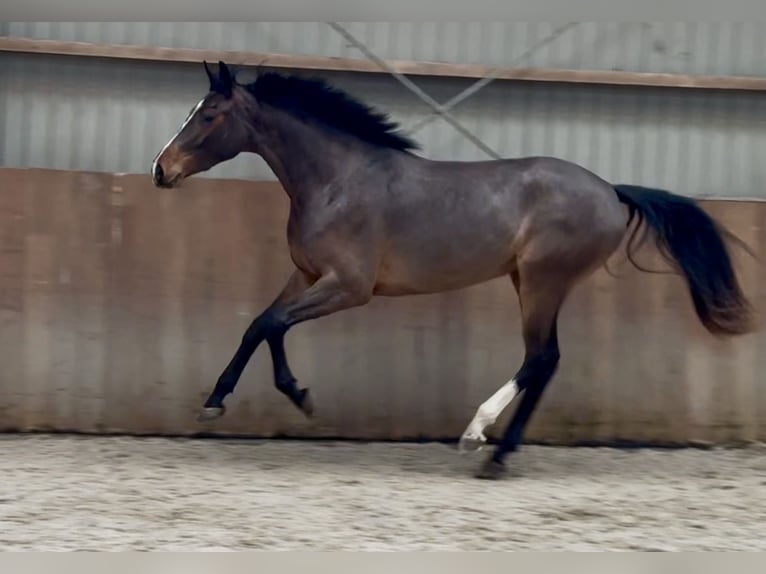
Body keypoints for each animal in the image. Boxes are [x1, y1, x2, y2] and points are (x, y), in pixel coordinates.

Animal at [151, 61, 754, 479]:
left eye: (209, 115)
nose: (161, 170)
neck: (338, 181)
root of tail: (611, 191)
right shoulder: (306, 275)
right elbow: (261, 325)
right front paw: (238, 400)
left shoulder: (349, 287)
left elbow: (271, 324)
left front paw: (282, 398)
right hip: (529, 282)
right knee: (547, 361)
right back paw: (497, 455)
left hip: (543, 282)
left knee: (540, 358)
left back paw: (480, 440)